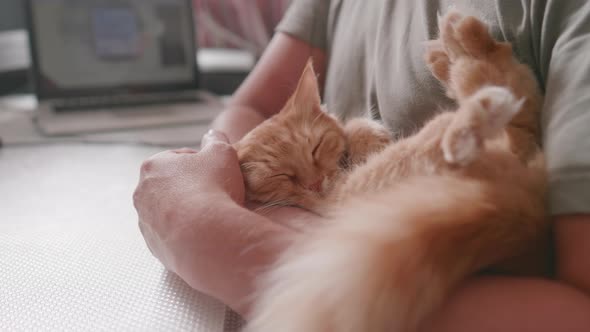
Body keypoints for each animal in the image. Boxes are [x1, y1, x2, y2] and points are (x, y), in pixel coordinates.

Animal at [235, 11, 552, 332]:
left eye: (315, 148)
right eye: (282, 176)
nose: (314, 184)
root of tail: (525, 211)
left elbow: (353, 126)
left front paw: (367, 135)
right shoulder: (346, 192)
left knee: (515, 98)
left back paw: (457, 46)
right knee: (497, 121)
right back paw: (469, 94)